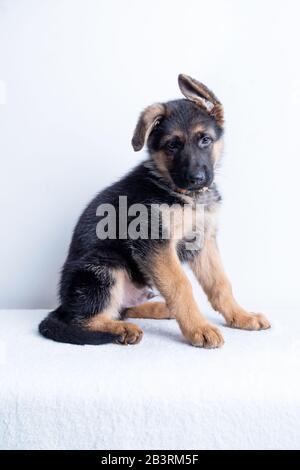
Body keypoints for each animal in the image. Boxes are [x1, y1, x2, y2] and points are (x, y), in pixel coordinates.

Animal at [38, 73, 270, 346]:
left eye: (205, 140)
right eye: (172, 146)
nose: (196, 179)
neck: (184, 195)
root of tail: (63, 304)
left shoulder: (204, 241)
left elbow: (220, 283)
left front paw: (241, 316)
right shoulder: (154, 243)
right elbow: (180, 285)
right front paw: (199, 328)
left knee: (123, 308)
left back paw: (160, 309)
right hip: (105, 265)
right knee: (83, 319)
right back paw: (121, 329)